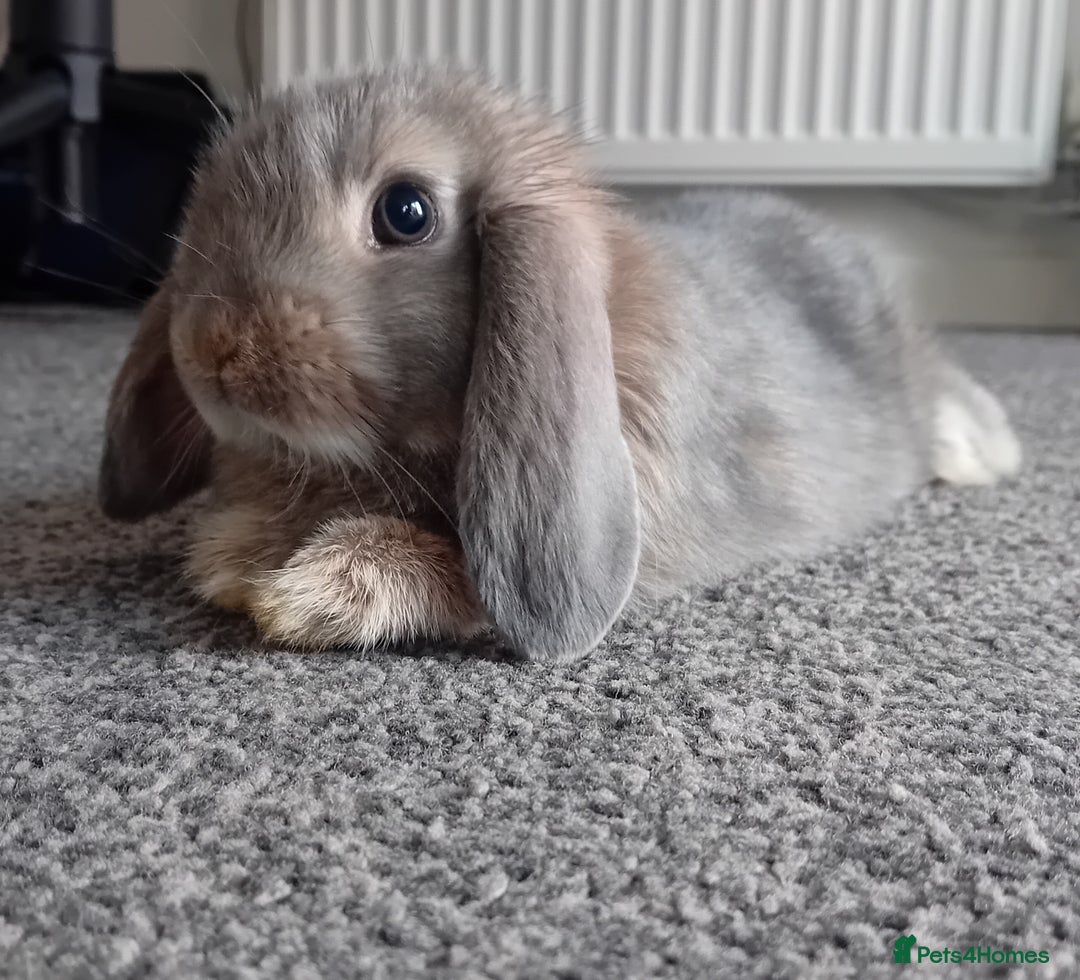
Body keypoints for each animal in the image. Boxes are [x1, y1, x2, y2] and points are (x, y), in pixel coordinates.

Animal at [98, 65, 1021, 662]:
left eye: (406, 211)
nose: (213, 347)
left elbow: (462, 575)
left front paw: (305, 593)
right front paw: (239, 557)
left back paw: (987, 456)